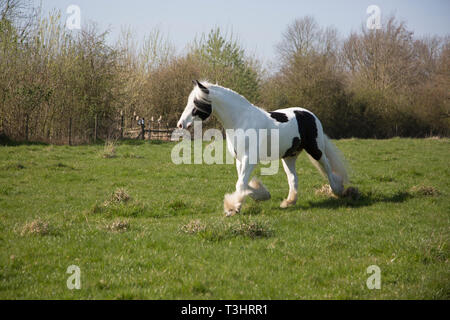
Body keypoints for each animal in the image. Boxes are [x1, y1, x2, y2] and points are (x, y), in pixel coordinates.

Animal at [177, 79, 352, 218]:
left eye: (196, 103)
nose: (181, 124)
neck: (240, 120)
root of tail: (310, 115)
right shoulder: (240, 160)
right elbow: (242, 183)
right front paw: (260, 195)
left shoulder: (249, 159)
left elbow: (240, 184)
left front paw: (233, 208)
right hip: (289, 156)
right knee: (293, 178)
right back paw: (289, 202)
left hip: (315, 150)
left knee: (327, 168)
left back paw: (338, 190)